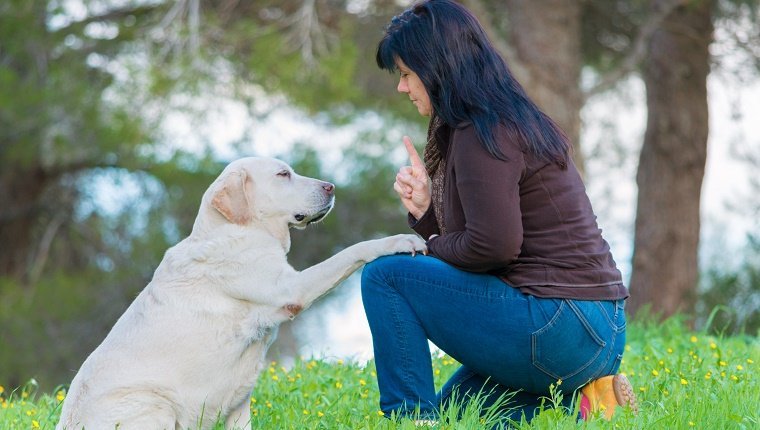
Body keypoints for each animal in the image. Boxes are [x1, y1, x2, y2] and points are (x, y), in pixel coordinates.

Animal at [58, 156, 428, 428]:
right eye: (283, 174)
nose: (331, 187)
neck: (238, 228)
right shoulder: (290, 287)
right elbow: (352, 251)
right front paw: (397, 241)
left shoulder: (239, 403)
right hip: (154, 404)